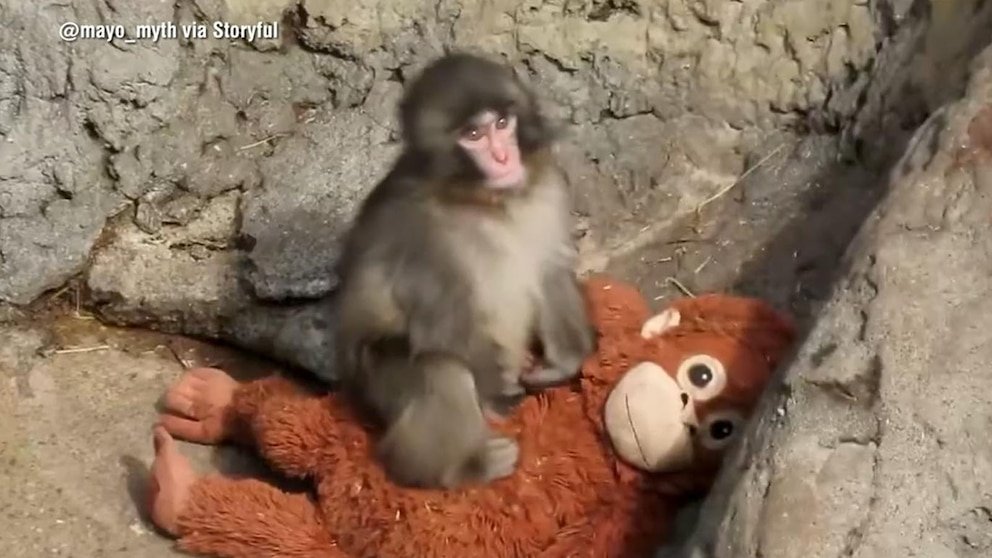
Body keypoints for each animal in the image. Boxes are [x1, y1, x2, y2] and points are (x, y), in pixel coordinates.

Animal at [332, 52, 596, 490]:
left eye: (503, 124)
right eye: (473, 135)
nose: (505, 158)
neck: (486, 200)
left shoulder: (548, 184)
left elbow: (550, 271)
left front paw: (563, 363)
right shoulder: (416, 230)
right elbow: (442, 324)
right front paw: (500, 389)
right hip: (375, 388)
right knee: (440, 366)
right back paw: (456, 468)